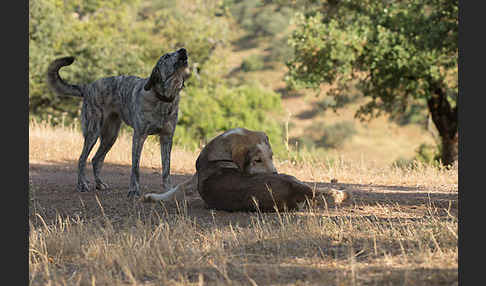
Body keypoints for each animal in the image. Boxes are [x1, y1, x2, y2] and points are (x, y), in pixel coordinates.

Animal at [47, 48, 188, 198]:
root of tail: (88, 87)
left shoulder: (166, 139)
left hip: (110, 137)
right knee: (81, 159)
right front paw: (134, 191)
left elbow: (166, 169)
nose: (183, 50)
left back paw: (99, 183)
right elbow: (135, 168)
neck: (162, 99)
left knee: (96, 159)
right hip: (93, 133)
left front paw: (168, 190)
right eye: (166, 56)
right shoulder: (139, 137)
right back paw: (82, 184)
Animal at [141, 128, 350, 211]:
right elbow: (177, 188)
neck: (219, 154)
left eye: (271, 156)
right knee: (319, 190)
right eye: (257, 160)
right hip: (294, 179)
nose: (274, 174)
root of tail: (293, 190)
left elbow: (178, 188)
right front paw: (153, 197)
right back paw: (338, 193)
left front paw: (152, 196)